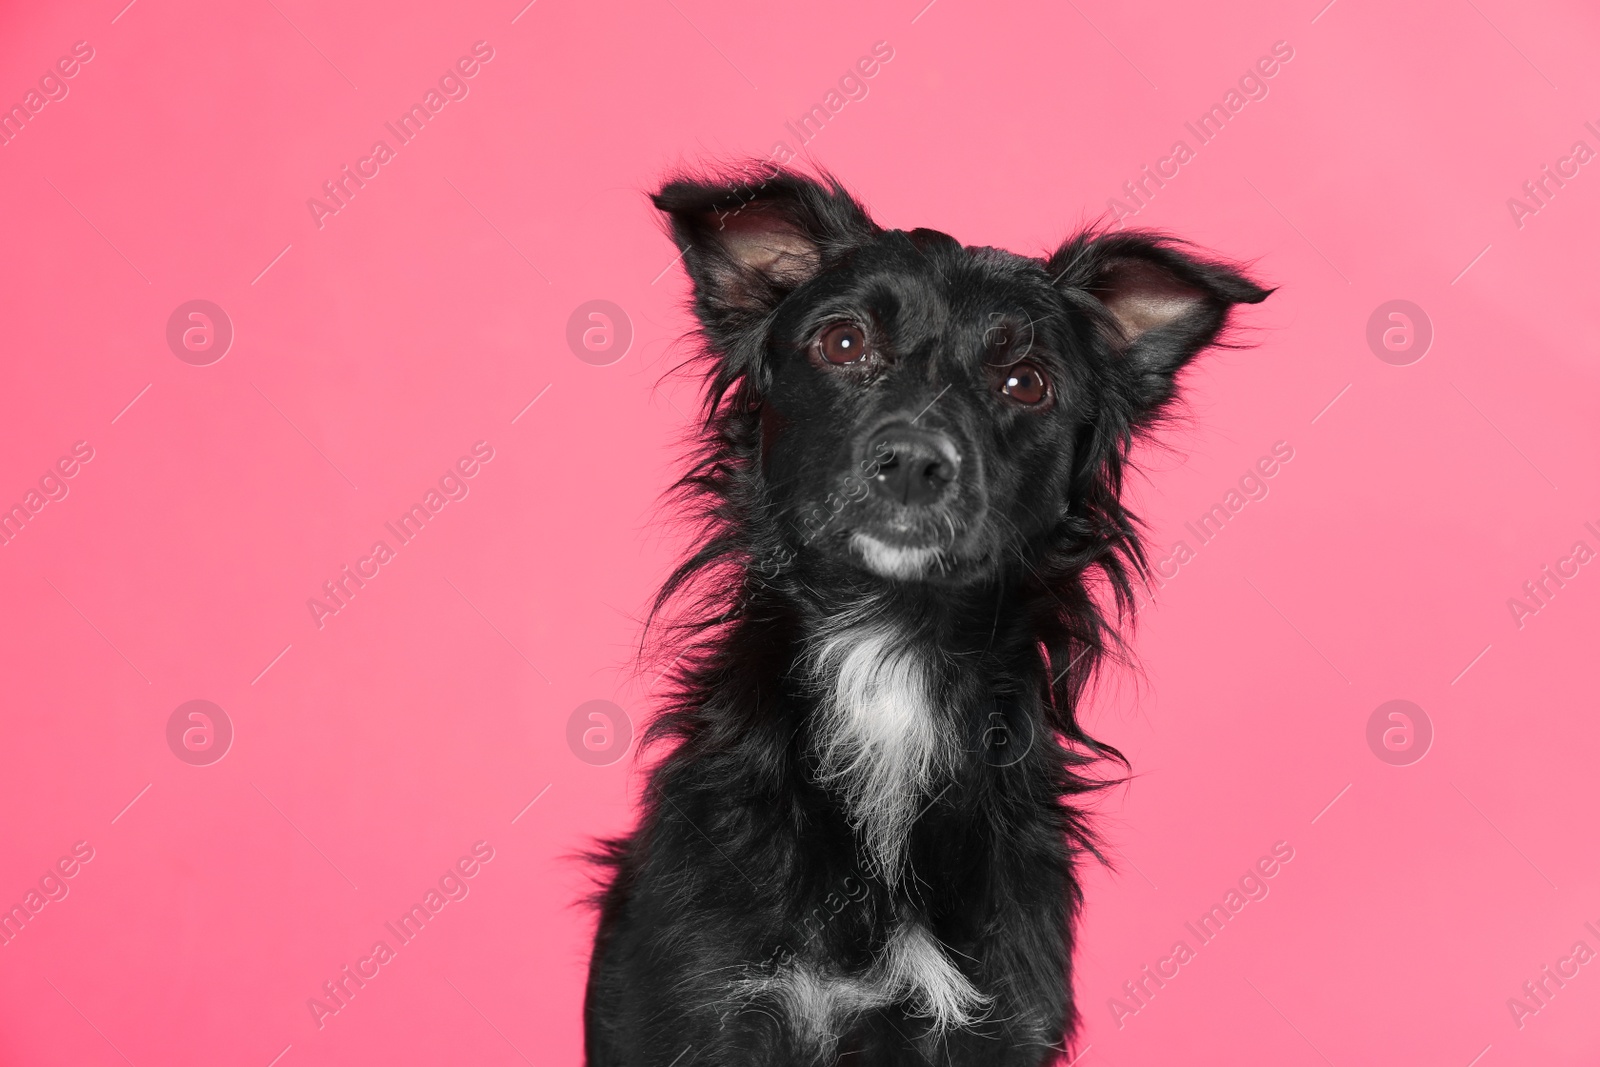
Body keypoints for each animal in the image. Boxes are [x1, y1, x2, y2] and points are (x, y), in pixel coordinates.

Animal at [582, 167, 1267, 1067]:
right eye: (843, 344)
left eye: (1025, 383)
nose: (912, 460)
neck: (888, 654)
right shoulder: (702, 1003)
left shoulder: (996, 1020)